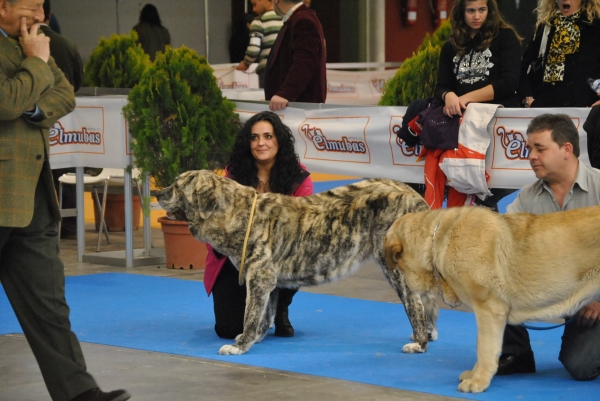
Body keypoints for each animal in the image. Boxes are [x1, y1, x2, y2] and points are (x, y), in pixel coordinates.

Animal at [155, 169, 436, 354]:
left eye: (178, 186)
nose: (157, 193)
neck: (235, 211)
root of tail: (412, 194)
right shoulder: (269, 283)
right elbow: (264, 315)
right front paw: (254, 339)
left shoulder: (258, 278)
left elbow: (250, 314)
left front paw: (240, 346)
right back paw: (427, 334)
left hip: (395, 268)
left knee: (416, 304)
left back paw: (419, 343)